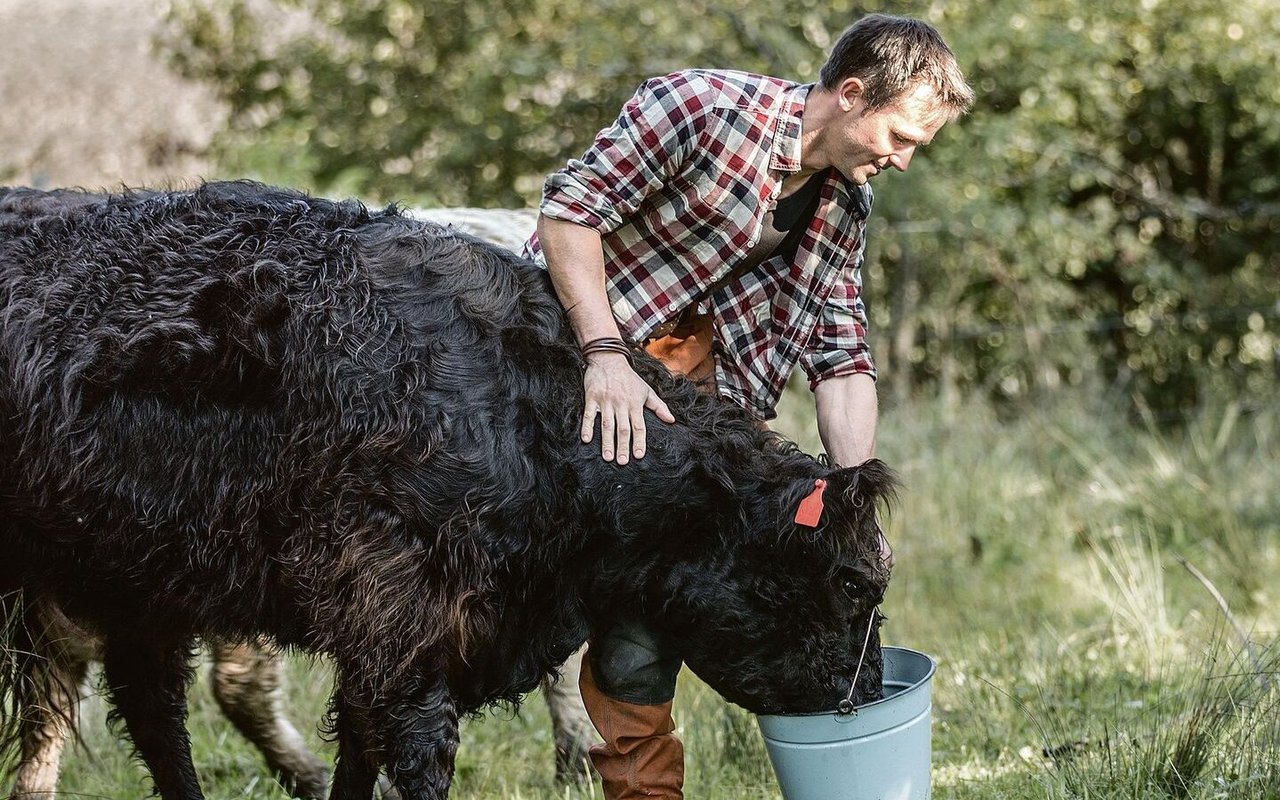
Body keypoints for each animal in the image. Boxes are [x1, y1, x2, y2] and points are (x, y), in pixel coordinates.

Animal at [0, 183, 896, 798]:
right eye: (854, 585)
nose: (866, 697)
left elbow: (361, 744)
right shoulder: (397, 607)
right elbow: (413, 745)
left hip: (129, 578)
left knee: (142, 707)